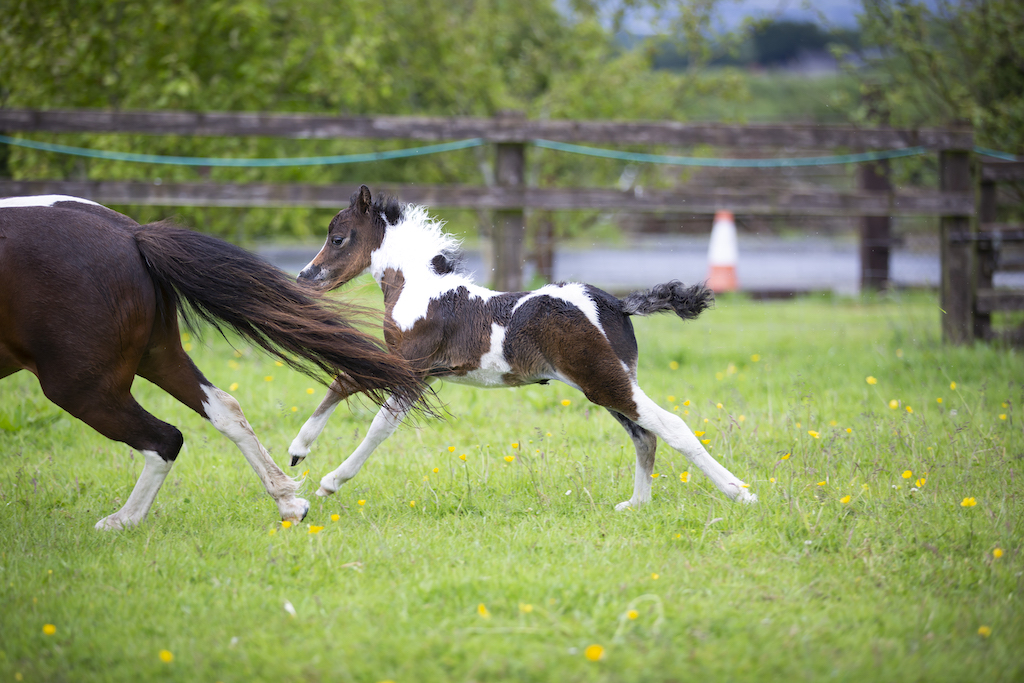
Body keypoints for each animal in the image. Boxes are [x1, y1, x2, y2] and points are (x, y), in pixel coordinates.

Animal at [0, 195, 425, 530]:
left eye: (338, 239)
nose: (306, 277)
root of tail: (131, 235)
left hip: (81, 383)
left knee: (165, 437)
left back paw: (121, 521)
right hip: (155, 357)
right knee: (224, 409)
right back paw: (290, 503)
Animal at [289, 185, 757, 510]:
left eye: (338, 238)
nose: (304, 278)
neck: (420, 291)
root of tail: (615, 303)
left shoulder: (412, 366)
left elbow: (369, 414)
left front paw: (319, 471)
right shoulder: (418, 371)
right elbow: (351, 388)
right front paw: (302, 457)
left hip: (604, 380)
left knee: (671, 426)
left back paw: (740, 492)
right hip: (609, 380)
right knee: (644, 435)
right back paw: (637, 504)